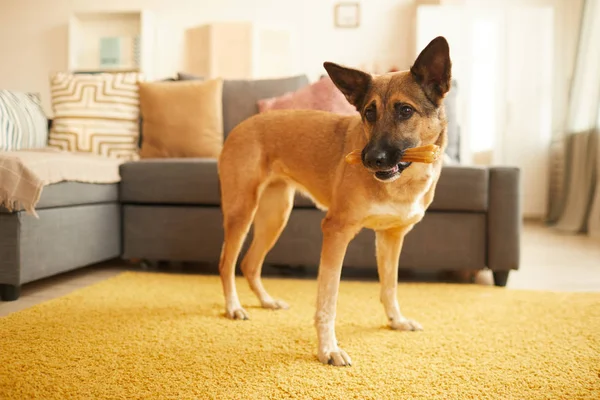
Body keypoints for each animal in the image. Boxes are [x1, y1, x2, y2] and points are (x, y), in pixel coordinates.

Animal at [216, 36, 450, 364]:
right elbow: (328, 299)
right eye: (369, 112)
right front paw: (328, 349)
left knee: (249, 263)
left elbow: (389, 285)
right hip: (242, 210)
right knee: (227, 262)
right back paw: (233, 307)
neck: (403, 180)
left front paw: (396, 321)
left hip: (276, 215)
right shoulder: (336, 232)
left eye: (405, 110)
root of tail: (242, 125)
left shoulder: (391, 237)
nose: (370, 159)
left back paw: (266, 301)